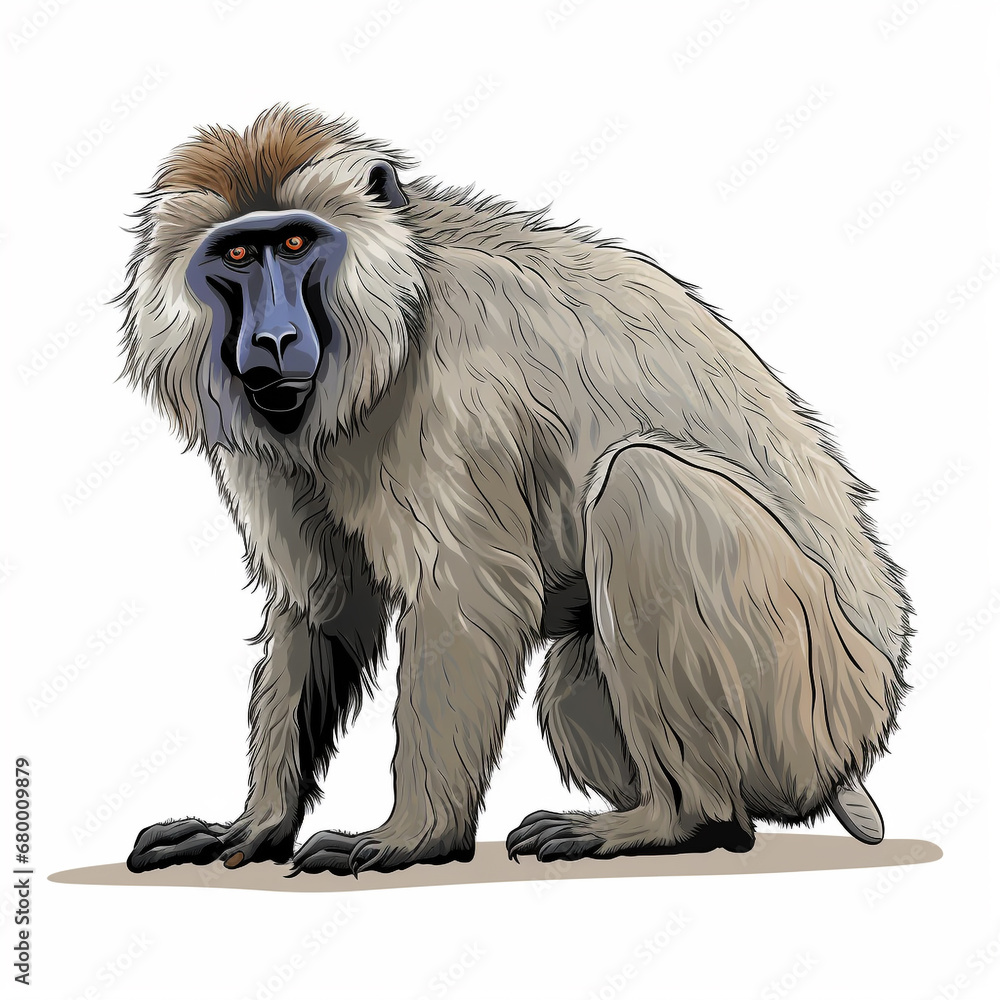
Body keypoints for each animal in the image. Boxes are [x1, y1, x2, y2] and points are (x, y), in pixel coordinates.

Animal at [120, 105, 910, 876]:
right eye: (237, 256)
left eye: (293, 243)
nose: (274, 340)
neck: (397, 313)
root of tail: (856, 748)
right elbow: (325, 607)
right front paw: (256, 824)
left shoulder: (457, 388)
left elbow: (469, 599)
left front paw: (417, 836)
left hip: (808, 704)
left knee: (640, 483)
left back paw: (680, 822)